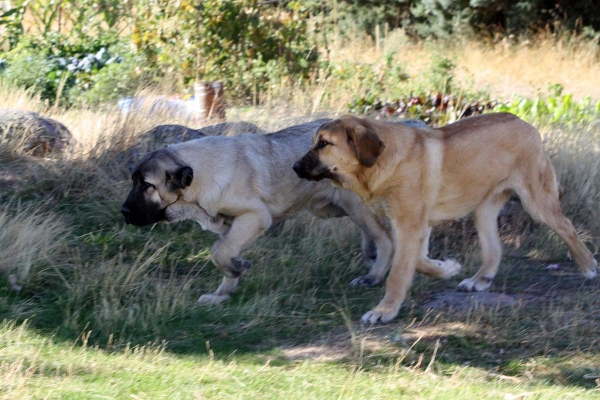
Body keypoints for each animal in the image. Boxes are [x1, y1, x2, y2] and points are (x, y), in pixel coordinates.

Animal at [294, 111, 596, 324]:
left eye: (324, 144)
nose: (295, 167)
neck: (381, 163)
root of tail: (524, 122)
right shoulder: (415, 226)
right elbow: (417, 261)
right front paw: (446, 268)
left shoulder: (410, 226)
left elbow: (399, 272)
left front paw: (385, 310)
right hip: (483, 208)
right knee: (494, 249)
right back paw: (480, 280)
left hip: (536, 201)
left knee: (567, 226)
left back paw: (587, 265)